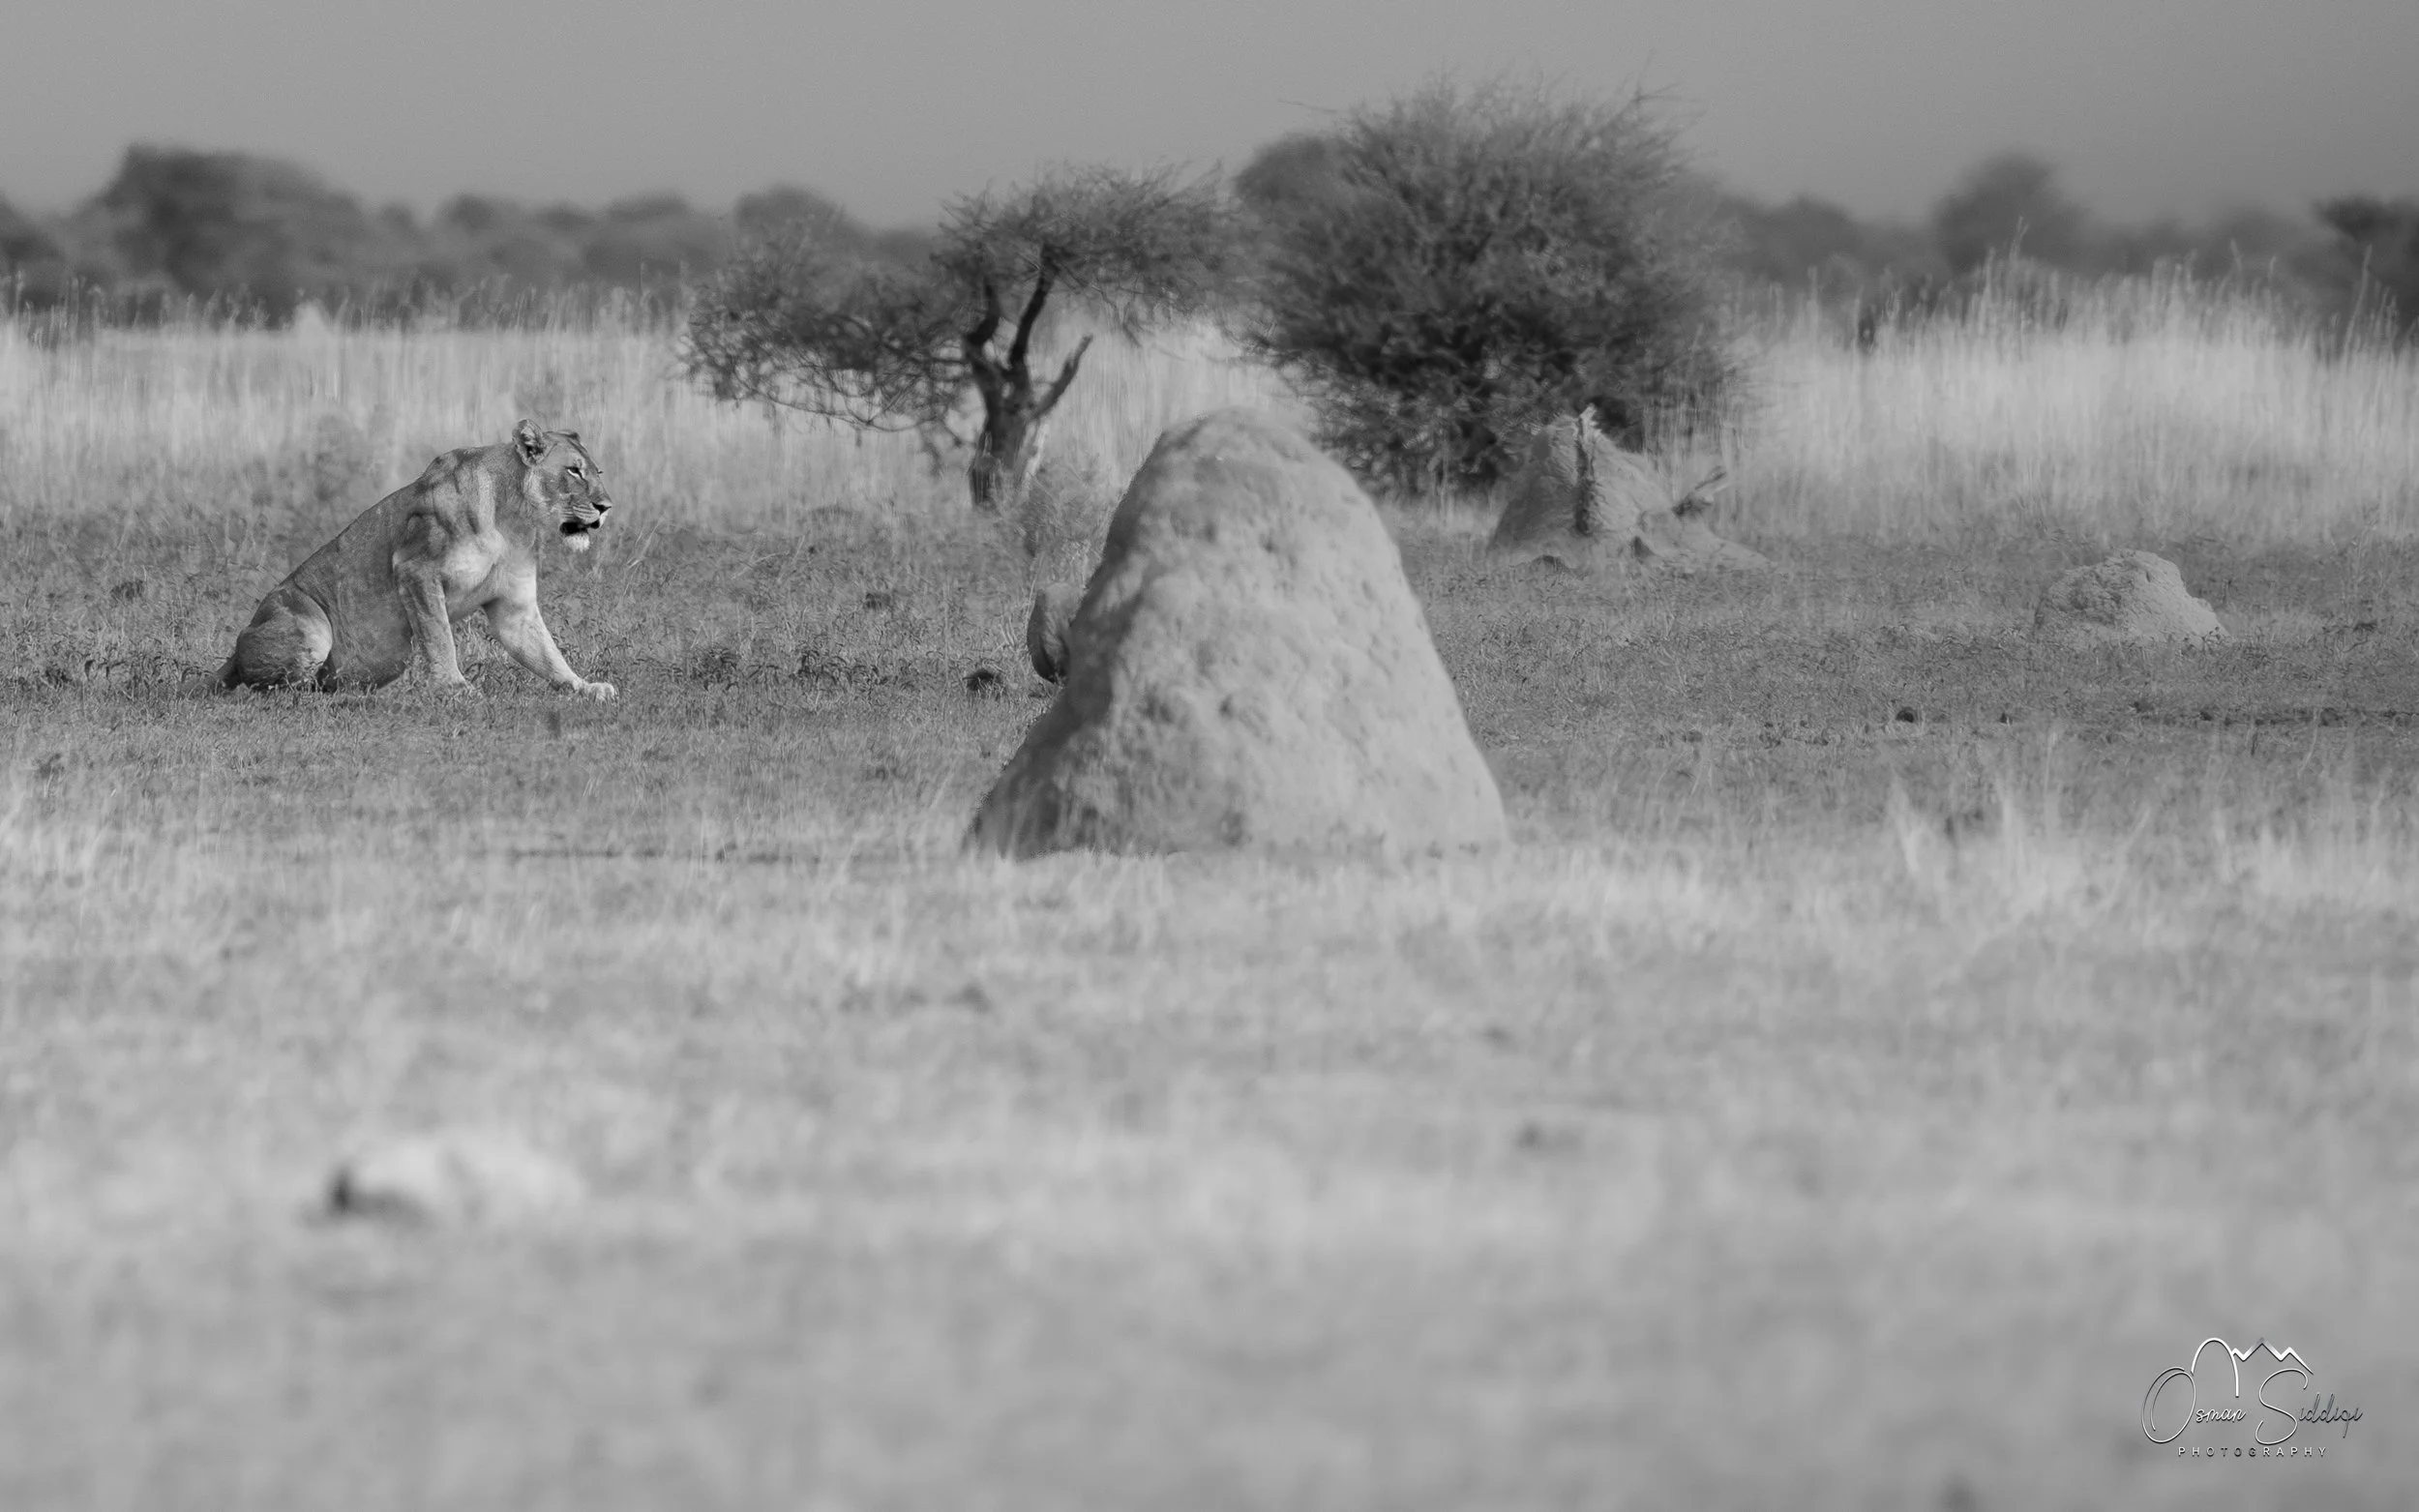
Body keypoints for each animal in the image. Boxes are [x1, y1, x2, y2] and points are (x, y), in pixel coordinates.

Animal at [217, 420, 617, 698]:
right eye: (573, 470)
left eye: (598, 472)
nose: (606, 507)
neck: (512, 518)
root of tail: (232, 655)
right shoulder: (416, 569)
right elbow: (438, 634)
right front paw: (454, 688)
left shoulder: (513, 606)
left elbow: (547, 654)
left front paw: (585, 687)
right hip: (309, 628)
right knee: (276, 692)